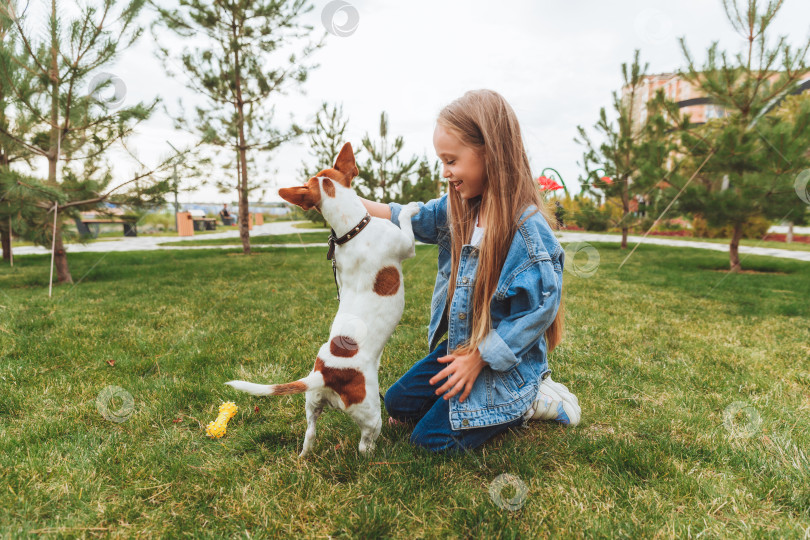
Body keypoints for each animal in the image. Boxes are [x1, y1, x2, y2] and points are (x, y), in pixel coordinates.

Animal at [226, 142, 420, 456]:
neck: (352, 229)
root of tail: (327, 374)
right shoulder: (407, 244)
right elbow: (405, 224)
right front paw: (411, 208)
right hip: (371, 414)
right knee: (365, 444)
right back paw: (377, 455)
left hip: (311, 404)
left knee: (309, 434)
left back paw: (305, 456)